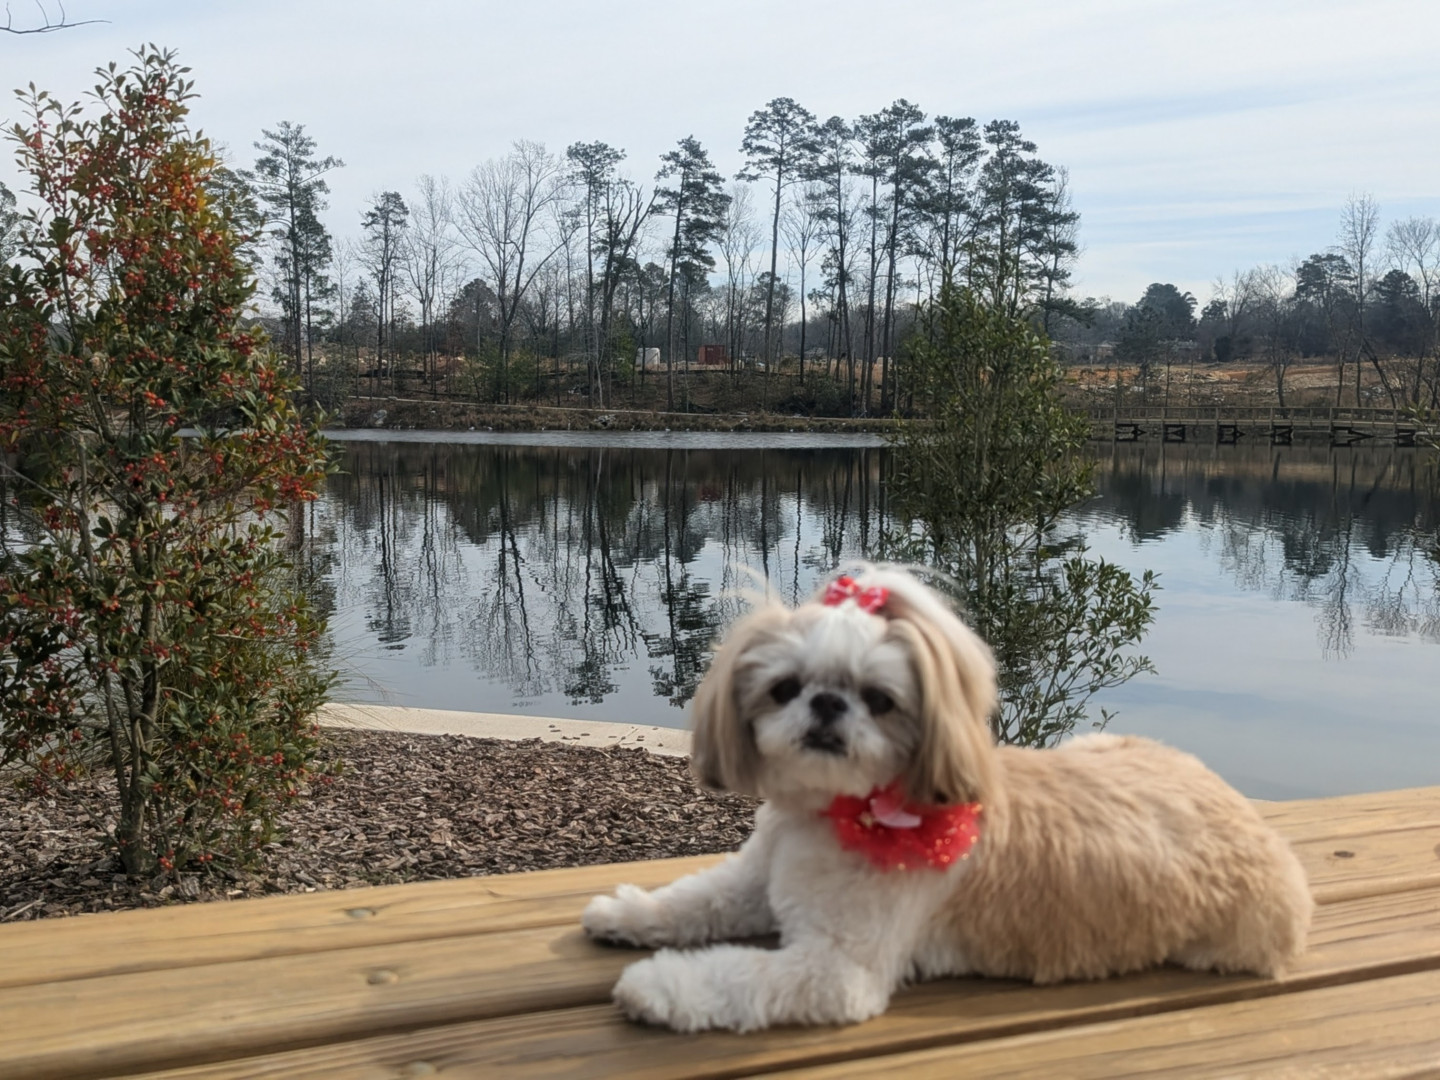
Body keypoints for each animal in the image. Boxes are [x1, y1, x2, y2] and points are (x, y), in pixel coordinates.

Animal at [582, 566, 1313, 1032]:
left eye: (880, 700)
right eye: (784, 687)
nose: (827, 705)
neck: (827, 813)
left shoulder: (833, 969)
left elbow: (732, 976)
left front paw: (654, 984)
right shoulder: (753, 881)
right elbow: (694, 899)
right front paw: (627, 912)